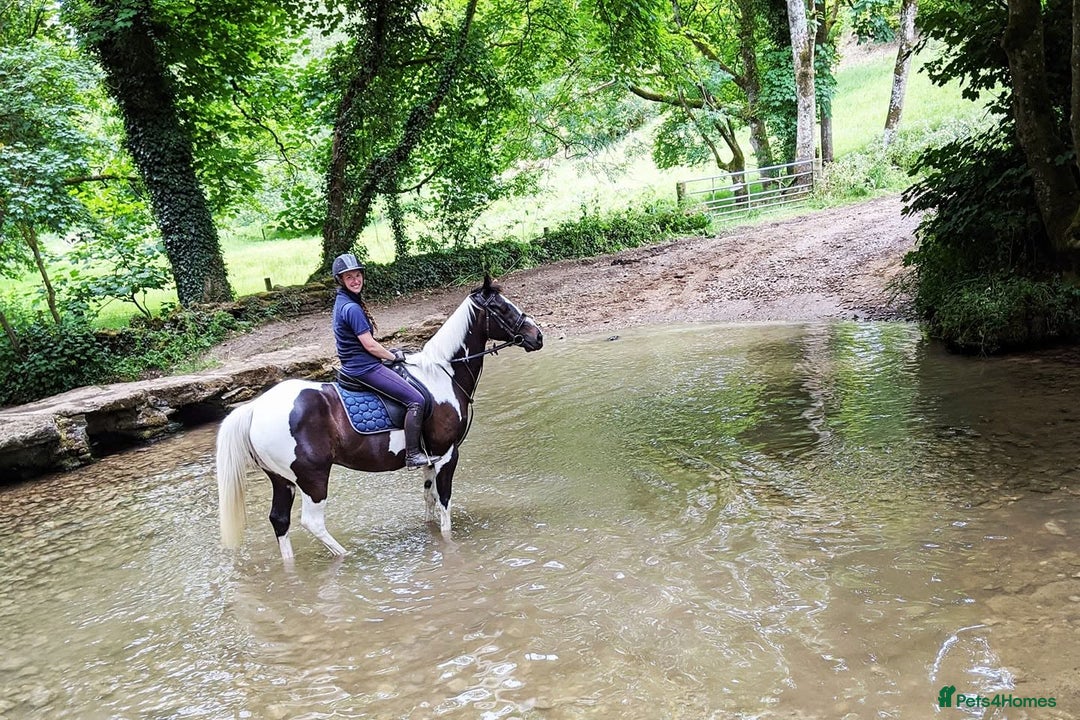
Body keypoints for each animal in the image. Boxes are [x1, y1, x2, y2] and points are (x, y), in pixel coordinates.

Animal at [215, 275, 543, 559]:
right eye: (502, 307)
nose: (537, 336)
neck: (441, 375)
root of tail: (255, 408)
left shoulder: (430, 458)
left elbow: (429, 499)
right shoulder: (447, 454)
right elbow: (445, 503)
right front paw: (448, 542)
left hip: (282, 479)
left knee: (279, 520)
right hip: (313, 476)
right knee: (312, 522)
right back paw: (344, 555)